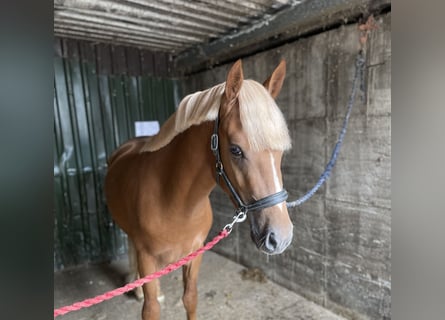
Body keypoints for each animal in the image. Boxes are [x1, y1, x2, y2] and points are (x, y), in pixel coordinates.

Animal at [103, 60, 292, 320]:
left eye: (280, 152)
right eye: (235, 150)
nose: (280, 238)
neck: (174, 201)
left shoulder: (195, 252)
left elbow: (190, 298)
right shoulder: (147, 257)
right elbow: (151, 308)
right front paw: (147, 294)